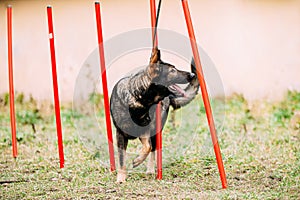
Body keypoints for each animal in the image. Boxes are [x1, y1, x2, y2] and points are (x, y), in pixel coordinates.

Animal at [110, 47, 199, 183]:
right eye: (172, 71)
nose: (192, 75)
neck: (139, 99)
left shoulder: (146, 131)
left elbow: (147, 147)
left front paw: (137, 161)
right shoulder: (120, 135)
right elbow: (121, 159)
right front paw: (121, 178)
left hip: (156, 131)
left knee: (152, 149)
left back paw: (150, 170)